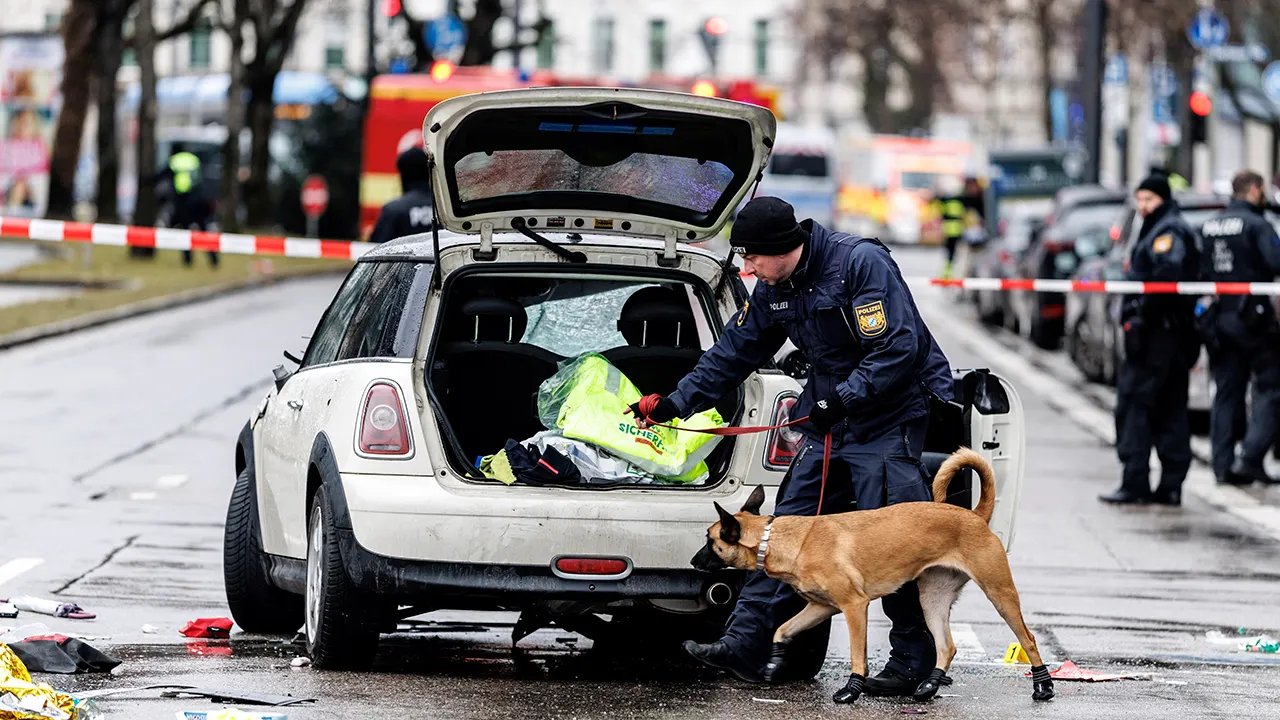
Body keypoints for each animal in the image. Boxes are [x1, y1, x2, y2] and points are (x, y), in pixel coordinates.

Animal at [696, 445, 1054, 702]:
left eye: (710, 541)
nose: (694, 561)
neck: (780, 539)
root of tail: (974, 515)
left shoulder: (855, 606)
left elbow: (858, 654)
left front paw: (852, 689)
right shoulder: (820, 607)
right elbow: (781, 630)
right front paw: (774, 661)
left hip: (999, 594)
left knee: (1029, 638)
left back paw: (1043, 686)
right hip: (932, 599)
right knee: (947, 646)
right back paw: (929, 685)